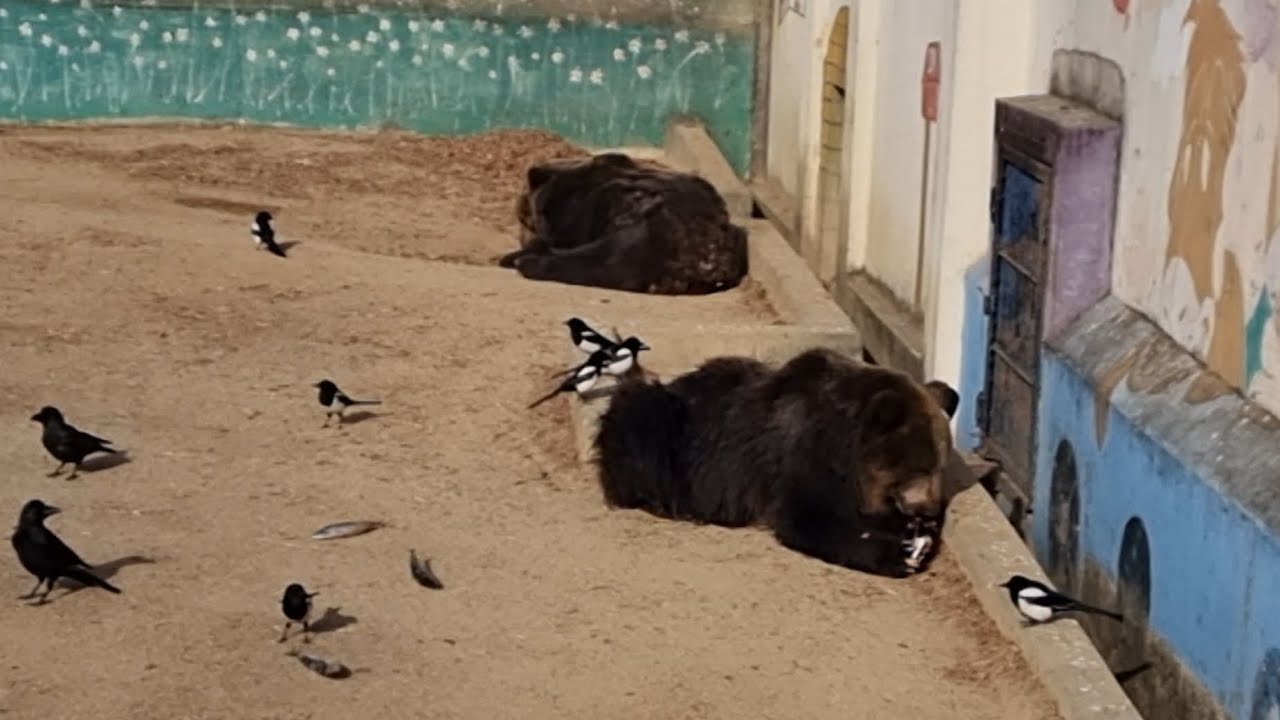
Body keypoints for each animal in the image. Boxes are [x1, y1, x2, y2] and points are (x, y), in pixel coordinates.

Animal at [593, 347, 961, 579]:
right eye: (920, 468)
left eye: (940, 467)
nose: (929, 509)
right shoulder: (799, 455)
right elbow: (807, 518)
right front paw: (896, 553)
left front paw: (917, 533)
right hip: (670, 431)